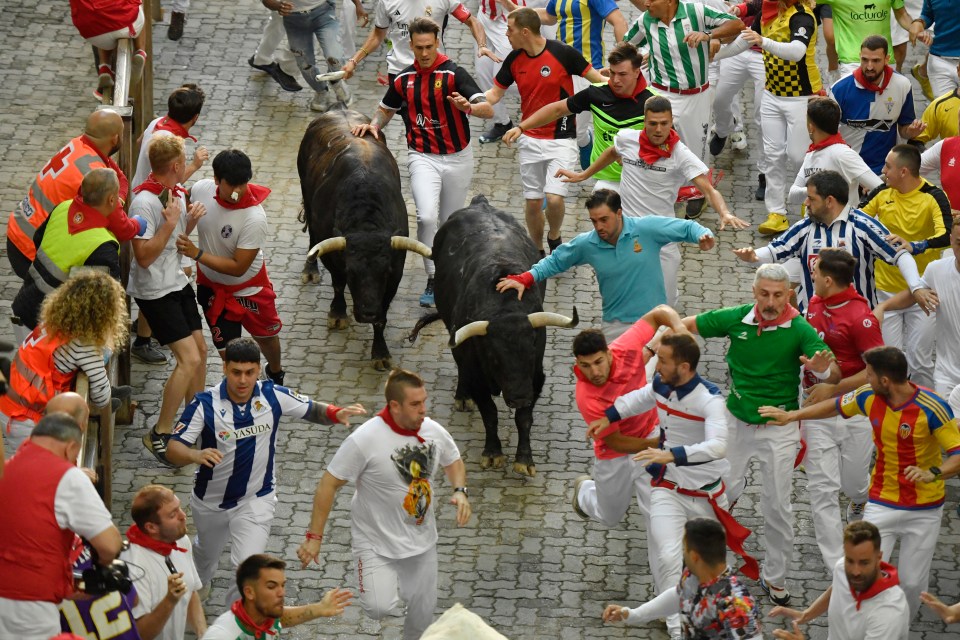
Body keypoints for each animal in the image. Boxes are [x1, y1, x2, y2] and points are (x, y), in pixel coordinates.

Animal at [298, 110, 430, 370]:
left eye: (384, 273)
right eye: (352, 272)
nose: (368, 312)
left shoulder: (395, 273)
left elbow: (383, 318)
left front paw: (380, 352)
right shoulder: (334, 257)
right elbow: (338, 284)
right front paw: (338, 314)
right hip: (306, 196)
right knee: (312, 240)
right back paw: (311, 269)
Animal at [406, 195, 576, 476]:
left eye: (532, 349)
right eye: (494, 356)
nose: (519, 396)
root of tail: (480, 203)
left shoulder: (535, 377)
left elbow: (524, 418)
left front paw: (524, 459)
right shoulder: (477, 376)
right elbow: (490, 413)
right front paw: (493, 453)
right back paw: (462, 397)